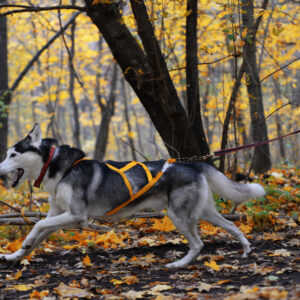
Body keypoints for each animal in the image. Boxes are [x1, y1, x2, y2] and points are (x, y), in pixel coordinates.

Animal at [0, 124, 264, 268]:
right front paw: (15, 255)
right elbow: (38, 235)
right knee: (232, 225)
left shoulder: (76, 216)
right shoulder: (58, 216)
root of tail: (192, 164)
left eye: (13, 155)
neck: (60, 169)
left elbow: (37, 225)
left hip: (178, 216)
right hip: (205, 212)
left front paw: (24, 244)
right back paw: (245, 248)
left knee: (198, 244)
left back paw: (179, 264)